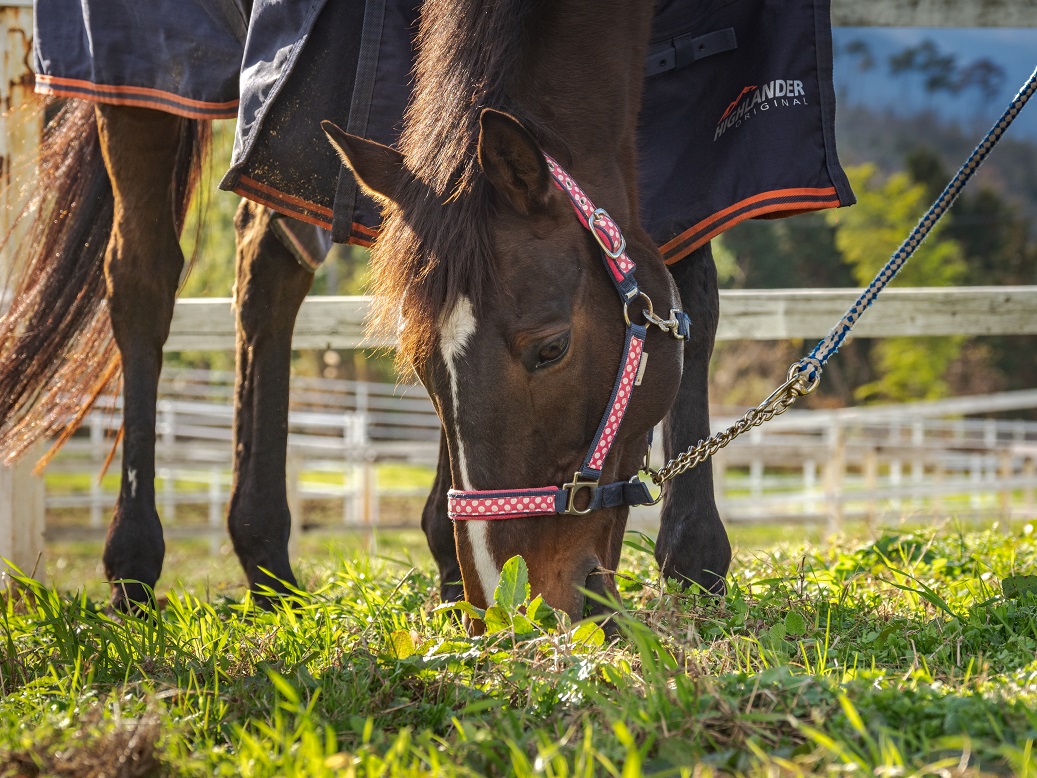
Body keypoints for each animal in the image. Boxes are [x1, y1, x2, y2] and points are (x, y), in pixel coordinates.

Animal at [0, 0, 732, 619]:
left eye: (551, 349)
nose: (515, 602)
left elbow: (691, 278)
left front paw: (694, 562)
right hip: (141, 83)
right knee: (142, 280)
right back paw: (133, 567)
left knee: (265, 272)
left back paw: (267, 564)